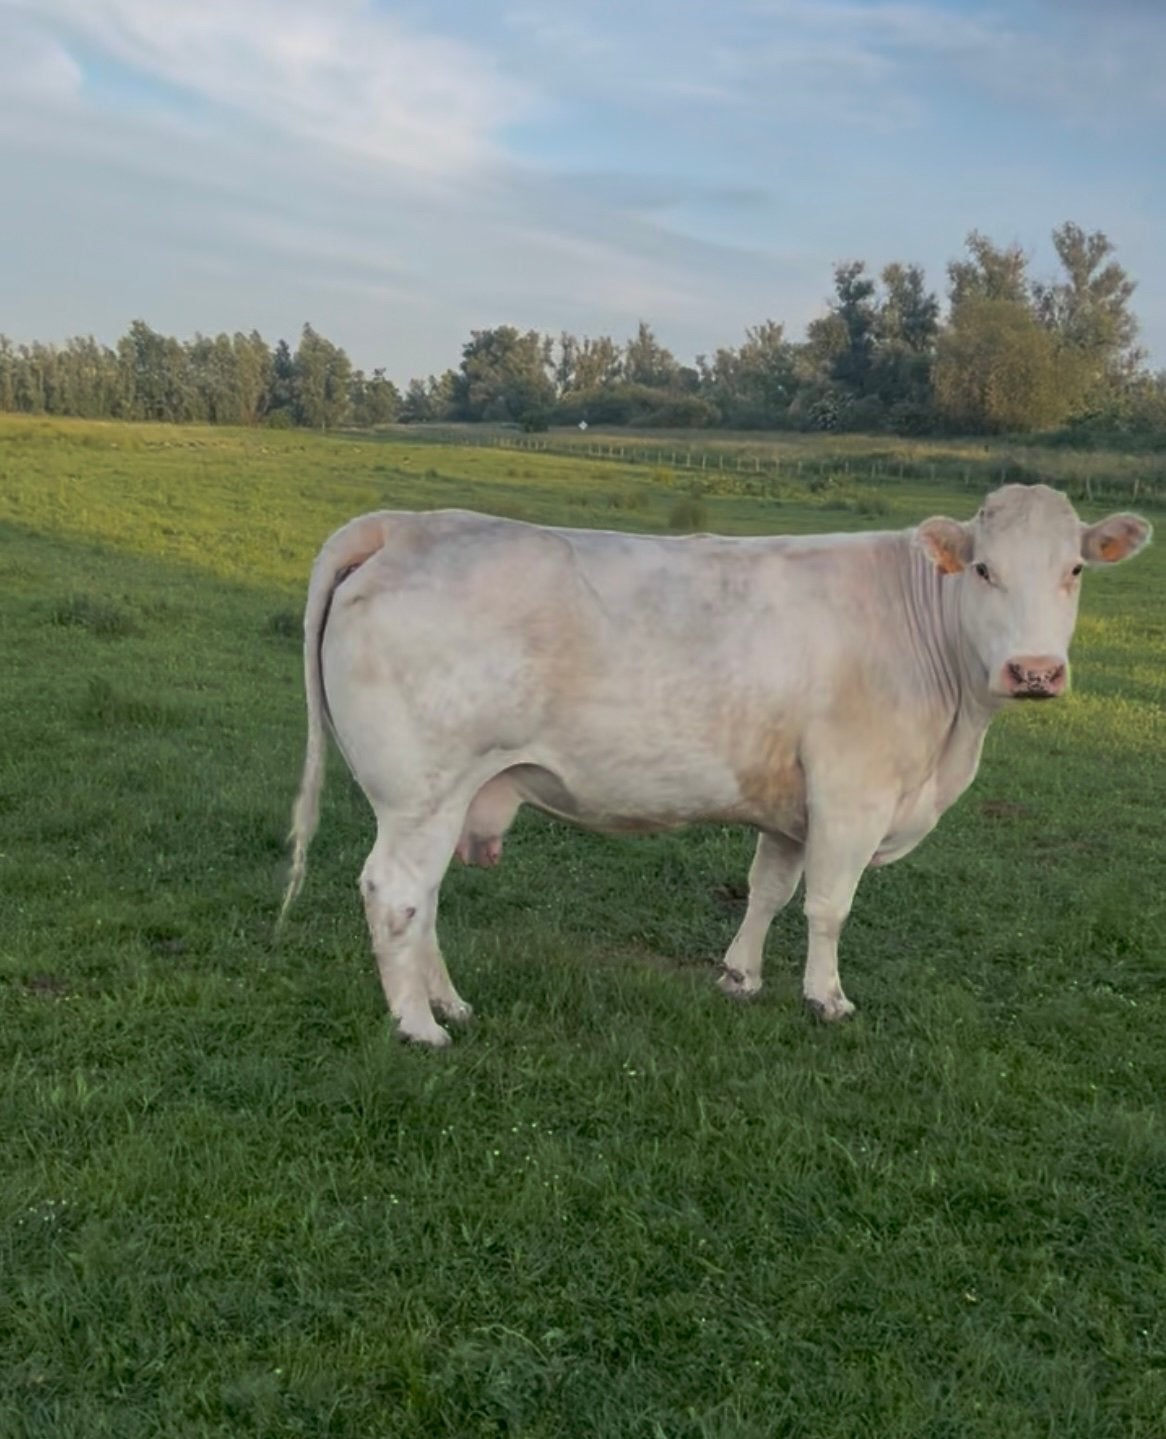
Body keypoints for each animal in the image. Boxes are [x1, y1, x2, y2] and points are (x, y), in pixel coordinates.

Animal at [280, 484, 1150, 1047]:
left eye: (1074, 570)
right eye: (984, 570)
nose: (1035, 670)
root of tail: (403, 524)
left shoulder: (793, 803)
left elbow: (770, 889)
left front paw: (741, 977)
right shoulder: (853, 793)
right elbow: (829, 905)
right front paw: (826, 999)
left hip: (448, 795)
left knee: (424, 899)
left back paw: (449, 1004)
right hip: (420, 792)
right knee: (396, 893)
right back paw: (419, 1025)